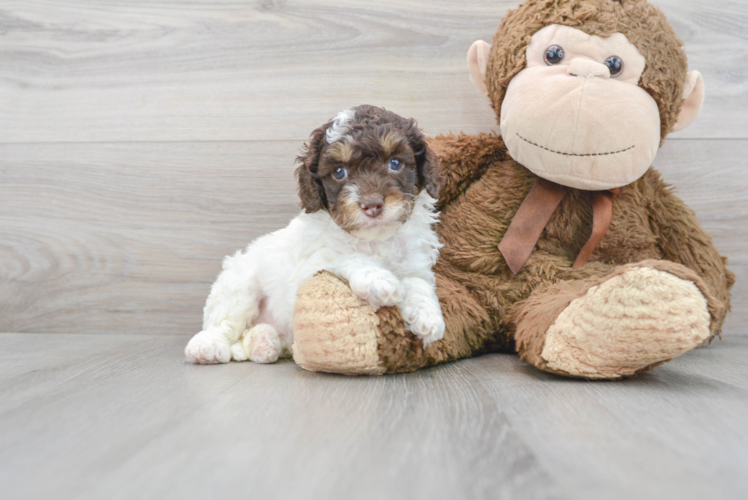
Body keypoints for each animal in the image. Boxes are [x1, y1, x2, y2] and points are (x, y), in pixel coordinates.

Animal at [186, 105, 444, 366]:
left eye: (395, 163)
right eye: (339, 172)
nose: (372, 205)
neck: (374, 239)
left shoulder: (414, 262)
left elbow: (418, 283)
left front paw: (429, 317)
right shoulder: (312, 266)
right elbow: (347, 256)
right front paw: (379, 280)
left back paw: (263, 343)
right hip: (239, 285)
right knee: (224, 323)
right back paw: (206, 347)